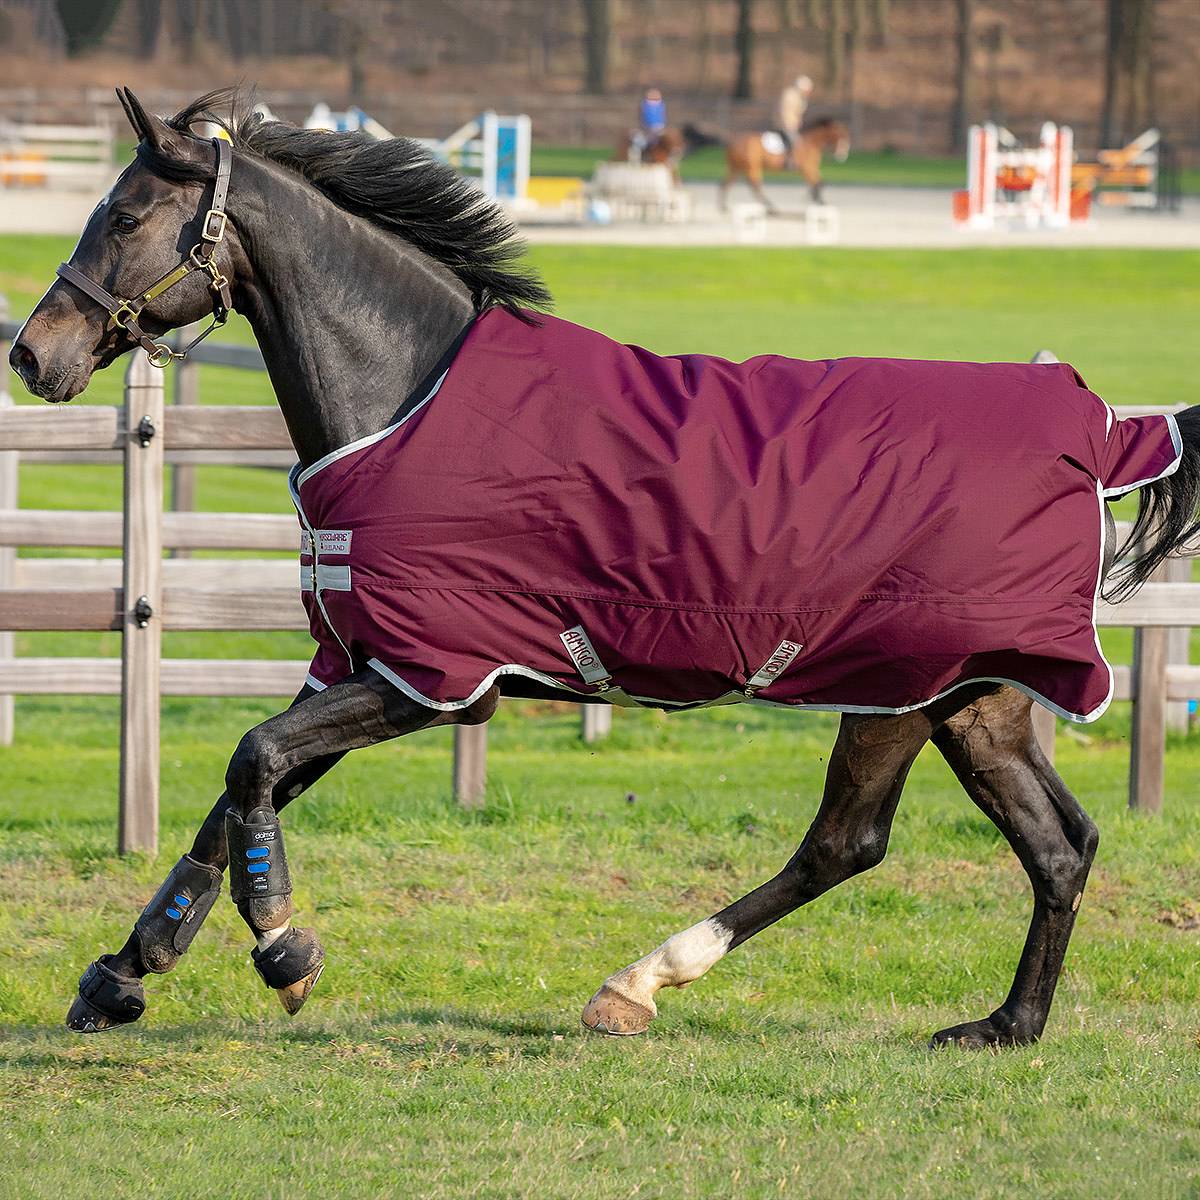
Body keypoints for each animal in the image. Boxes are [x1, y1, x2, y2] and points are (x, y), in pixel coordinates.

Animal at [720, 116, 850, 210]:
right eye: (841, 136)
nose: (842, 156)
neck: (810, 143)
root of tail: (734, 142)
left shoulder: (811, 169)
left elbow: (820, 183)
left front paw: (816, 199)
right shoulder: (807, 169)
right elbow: (818, 183)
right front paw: (818, 200)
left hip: (737, 168)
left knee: (727, 183)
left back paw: (723, 206)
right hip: (753, 167)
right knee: (755, 186)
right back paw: (770, 207)